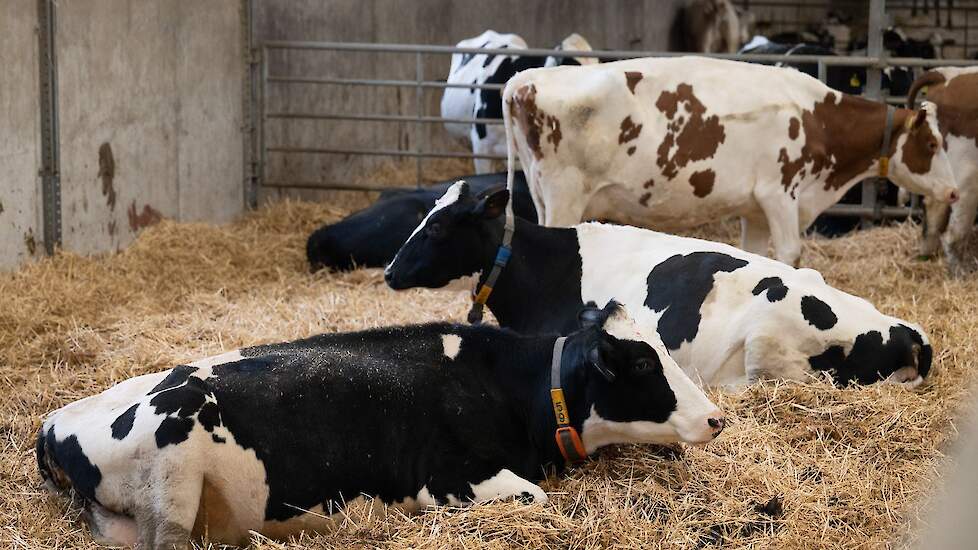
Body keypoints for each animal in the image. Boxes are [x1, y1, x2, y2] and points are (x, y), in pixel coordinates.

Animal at [37, 307, 722, 549]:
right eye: (642, 364)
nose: (717, 418)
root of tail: (54, 420)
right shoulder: (447, 479)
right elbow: (534, 495)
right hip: (175, 472)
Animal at [500, 56, 959, 267]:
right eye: (931, 143)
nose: (955, 191)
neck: (817, 118)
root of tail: (526, 80)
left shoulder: (755, 210)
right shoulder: (780, 193)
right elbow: (790, 254)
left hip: (544, 196)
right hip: (564, 196)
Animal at [907, 68, 978, 275]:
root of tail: (945, 74)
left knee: (932, 211)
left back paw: (926, 256)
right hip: (967, 175)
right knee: (953, 233)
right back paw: (960, 273)